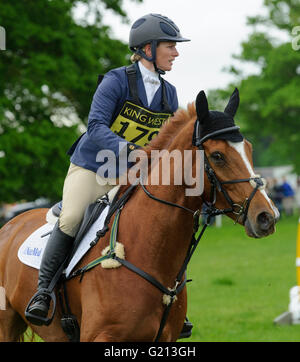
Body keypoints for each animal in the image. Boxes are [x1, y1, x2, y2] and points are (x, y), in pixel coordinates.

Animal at [0, 89, 278, 340]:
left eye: (249, 149)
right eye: (218, 156)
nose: (267, 217)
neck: (149, 249)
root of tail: (11, 224)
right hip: (8, 323)